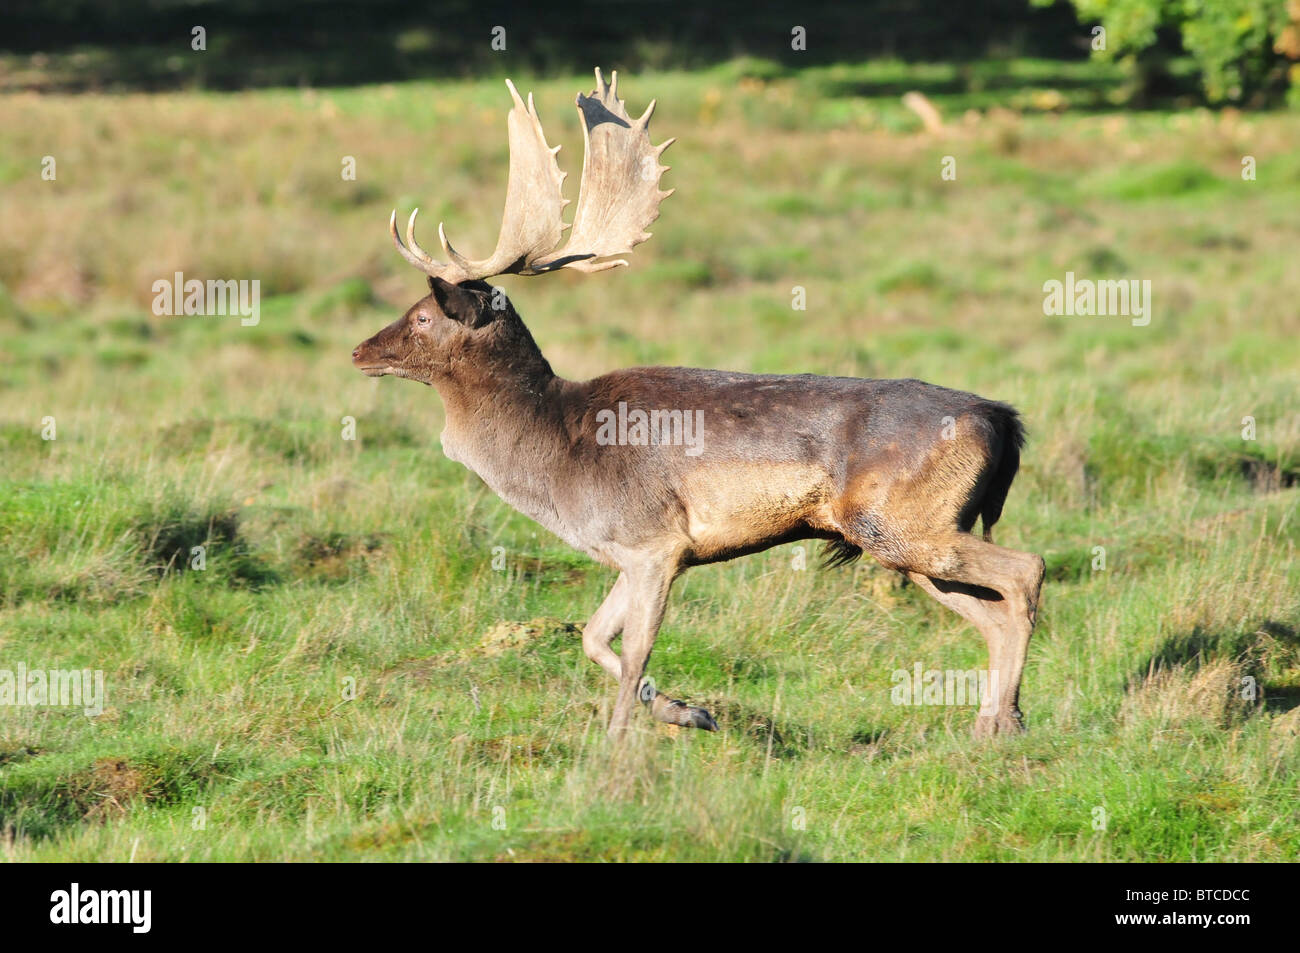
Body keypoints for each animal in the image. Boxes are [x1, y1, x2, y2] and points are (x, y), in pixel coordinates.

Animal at [353, 70, 1045, 738]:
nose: (360, 350)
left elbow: (635, 652)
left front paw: (618, 744)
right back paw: (993, 723)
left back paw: (1007, 721)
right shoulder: (627, 552)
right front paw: (690, 712)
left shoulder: (655, 542)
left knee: (1026, 570)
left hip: (902, 522)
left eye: (421, 316)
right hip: (911, 536)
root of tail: (1002, 420)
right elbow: (592, 637)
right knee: (990, 612)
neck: (555, 459)